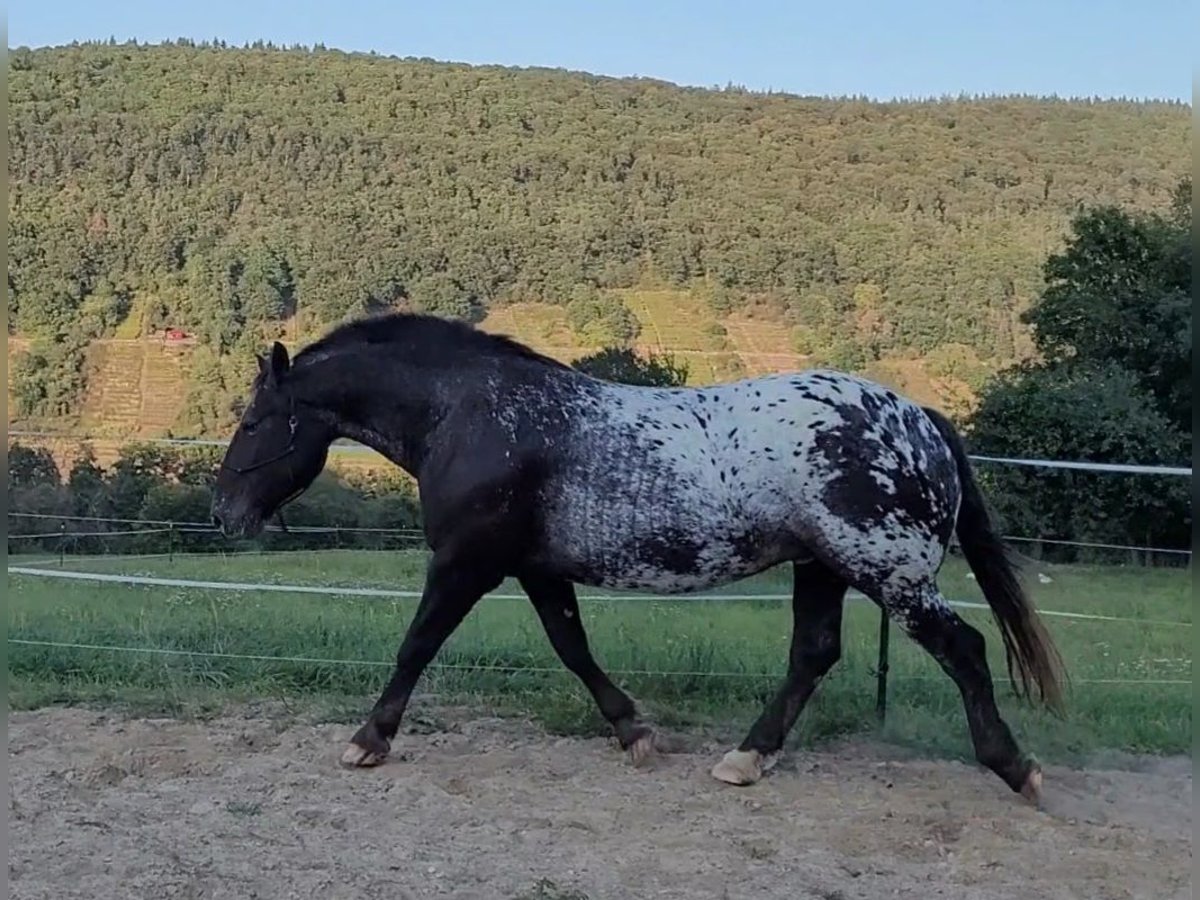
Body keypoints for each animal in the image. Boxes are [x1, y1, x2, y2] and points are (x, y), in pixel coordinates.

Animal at [211, 314, 1065, 806]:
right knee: (815, 655)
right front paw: (634, 732)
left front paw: (367, 741)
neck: (476, 414)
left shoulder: (465, 562)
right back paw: (745, 759)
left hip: (890, 575)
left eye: (254, 421)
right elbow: (571, 646)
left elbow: (417, 645)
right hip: (823, 568)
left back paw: (1018, 768)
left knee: (965, 649)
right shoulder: (534, 568)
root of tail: (920, 420)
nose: (224, 512)